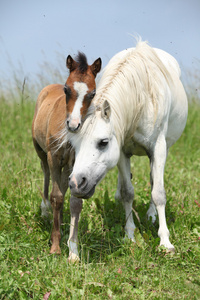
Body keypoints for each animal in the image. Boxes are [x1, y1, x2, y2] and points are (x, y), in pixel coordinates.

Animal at [67, 41, 188, 262]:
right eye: (74, 145)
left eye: (103, 142)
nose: (76, 184)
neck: (141, 100)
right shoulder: (122, 151)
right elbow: (127, 192)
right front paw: (130, 236)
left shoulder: (158, 147)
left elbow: (159, 192)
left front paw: (165, 242)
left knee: (153, 180)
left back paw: (151, 215)